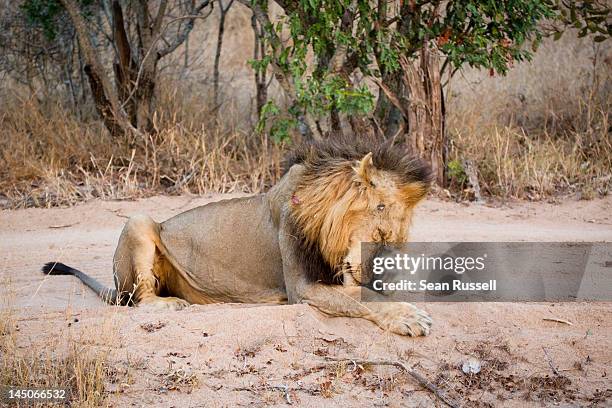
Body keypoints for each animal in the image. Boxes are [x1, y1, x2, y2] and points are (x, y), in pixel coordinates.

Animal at [43, 139, 432, 336]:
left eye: (396, 242)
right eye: (380, 229)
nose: (379, 272)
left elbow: (365, 292)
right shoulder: (302, 287)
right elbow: (361, 298)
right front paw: (409, 316)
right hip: (138, 220)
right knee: (139, 299)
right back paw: (170, 304)